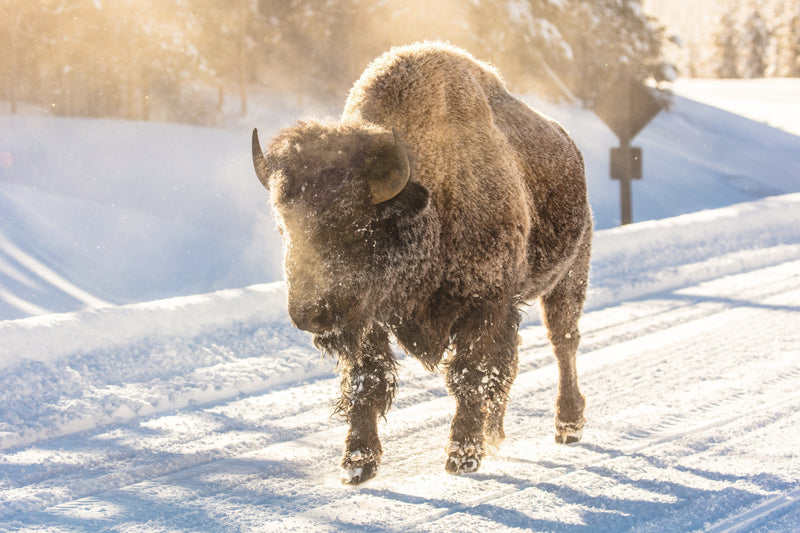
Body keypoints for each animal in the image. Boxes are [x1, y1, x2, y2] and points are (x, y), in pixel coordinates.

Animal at [252, 42, 592, 484]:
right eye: (284, 227)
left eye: (356, 226)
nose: (309, 314)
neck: (427, 196)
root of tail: (570, 146)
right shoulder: (368, 320)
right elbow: (366, 381)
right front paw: (356, 463)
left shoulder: (483, 305)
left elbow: (469, 374)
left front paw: (462, 455)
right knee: (512, 361)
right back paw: (495, 432)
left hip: (568, 277)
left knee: (562, 343)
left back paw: (567, 426)